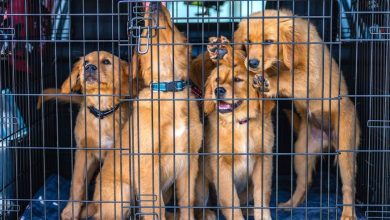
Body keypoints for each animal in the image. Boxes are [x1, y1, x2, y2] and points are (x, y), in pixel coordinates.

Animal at [45, 52, 131, 220]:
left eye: (106, 62)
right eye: (85, 62)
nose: (89, 67)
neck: (101, 114)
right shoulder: (83, 152)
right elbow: (77, 183)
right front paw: (71, 211)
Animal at [87, 2, 203, 219]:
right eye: (143, 31)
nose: (155, 4)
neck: (169, 90)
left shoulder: (189, 161)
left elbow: (186, 201)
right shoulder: (147, 163)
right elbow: (155, 207)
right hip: (122, 192)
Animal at [195, 38, 274, 220]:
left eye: (238, 80)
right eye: (217, 80)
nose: (218, 90)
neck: (239, 123)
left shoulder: (263, 160)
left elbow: (262, 195)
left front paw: (262, 216)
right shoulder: (221, 164)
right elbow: (230, 199)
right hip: (200, 184)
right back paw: (208, 213)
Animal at [233, 9, 362, 219]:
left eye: (268, 42)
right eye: (248, 41)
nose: (251, 63)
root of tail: (328, 140)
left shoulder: (310, 74)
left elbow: (287, 77)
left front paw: (268, 81)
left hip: (345, 151)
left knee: (348, 186)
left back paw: (348, 213)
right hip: (301, 152)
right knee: (304, 182)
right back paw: (291, 204)